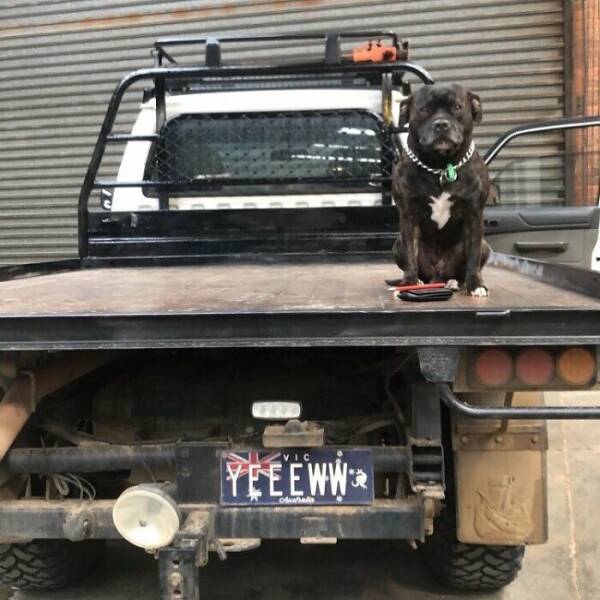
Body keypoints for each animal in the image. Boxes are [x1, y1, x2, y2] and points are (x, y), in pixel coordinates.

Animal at [392, 83, 491, 297]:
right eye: (424, 109)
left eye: (457, 107)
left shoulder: (474, 215)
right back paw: (419, 282)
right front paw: (409, 283)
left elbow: (473, 257)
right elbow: (410, 256)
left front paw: (475, 285)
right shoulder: (409, 215)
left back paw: (456, 283)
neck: (440, 166)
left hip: (485, 247)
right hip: (397, 245)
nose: (441, 124)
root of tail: (438, 276)